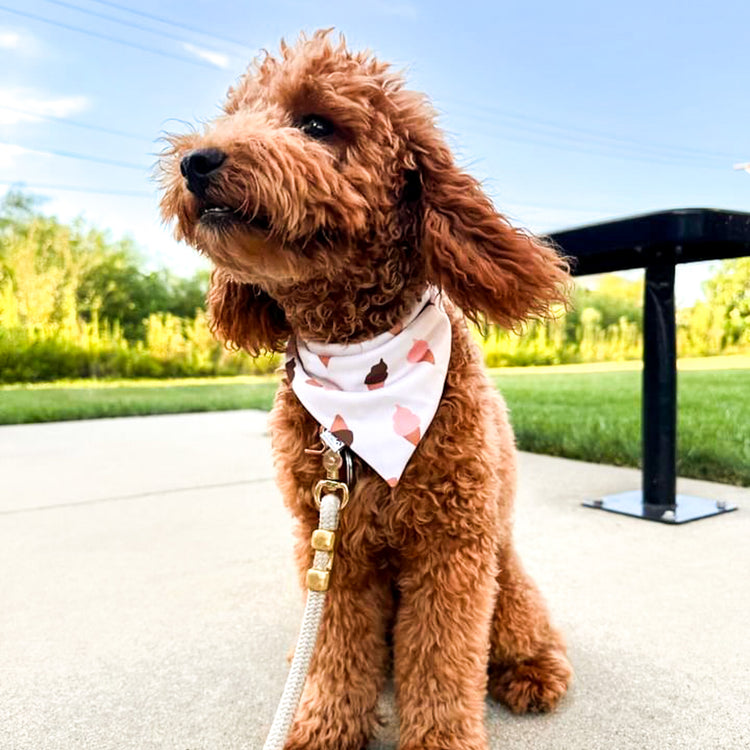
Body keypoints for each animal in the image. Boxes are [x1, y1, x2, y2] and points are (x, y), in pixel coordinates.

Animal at [160, 29, 576, 750]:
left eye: (316, 125)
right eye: (237, 113)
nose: (197, 160)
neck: (359, 373)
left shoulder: (452, 546)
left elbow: (441, 658)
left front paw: (441, 739)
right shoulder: (331, 545)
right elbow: (337, 648)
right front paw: (323, 727)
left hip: (506, 574)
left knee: (521, 631)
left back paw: (532, 674)